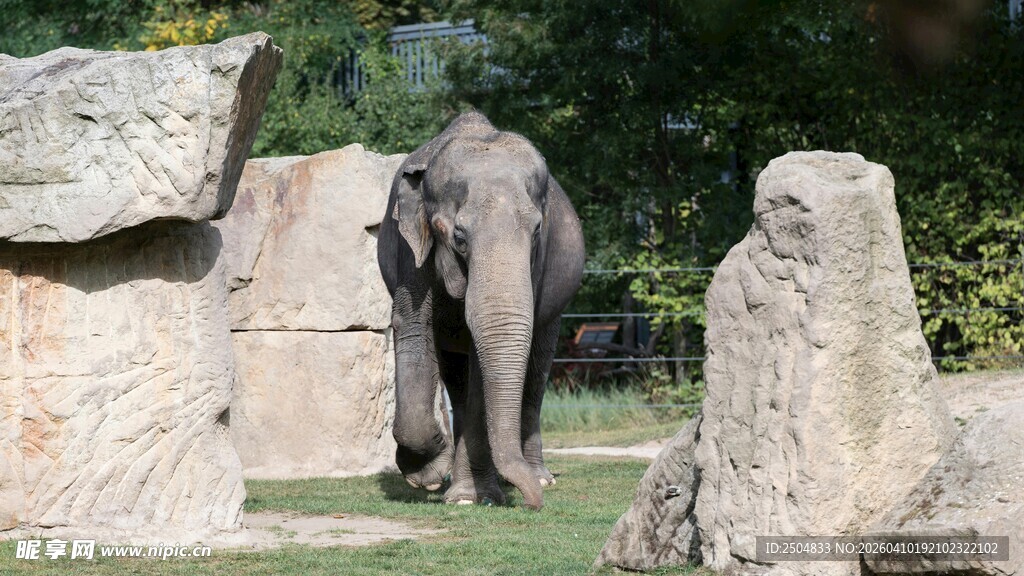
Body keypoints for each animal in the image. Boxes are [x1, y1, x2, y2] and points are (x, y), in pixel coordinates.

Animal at [377, 112, 585, 510]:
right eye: (459, 238)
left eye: (537, 231)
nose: (533, 505)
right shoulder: (409, 250)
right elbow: (413, 327)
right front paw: (428, 476)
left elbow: (481, 366)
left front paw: (471, 497)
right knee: (456, 379)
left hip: (555, 308)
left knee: (536, 373)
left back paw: (538, 477)